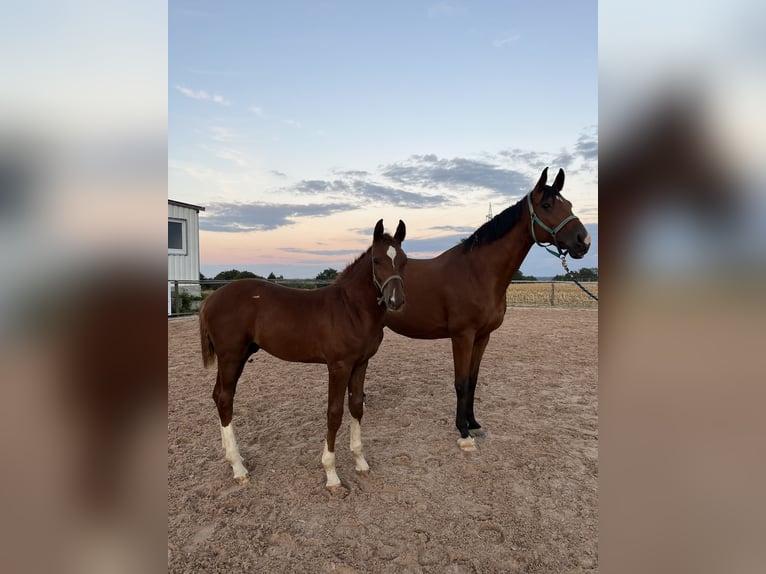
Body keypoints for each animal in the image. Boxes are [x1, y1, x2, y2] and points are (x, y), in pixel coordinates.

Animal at [201, 218, 412, 492]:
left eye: (404, 260)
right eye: (376, 261)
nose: (396, 300)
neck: (351, 309)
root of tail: (210, 299)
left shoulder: (361, 363)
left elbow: (356, 407)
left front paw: (361, 463)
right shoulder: (339, 366)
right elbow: (334, 413)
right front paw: (332, 476)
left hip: (237, 356)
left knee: (218, 396)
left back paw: (232, 457)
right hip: (231, 357)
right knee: (225, 399)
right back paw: (238, 467)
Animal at [384, 169, 592, 452]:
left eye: (568, 204)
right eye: (547, 205)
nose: (584, 241)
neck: (477, 272)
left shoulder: (483, 336)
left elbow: (472, 380)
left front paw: (473, 424)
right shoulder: (462, 336)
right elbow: (461, 382)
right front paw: (463, 432)